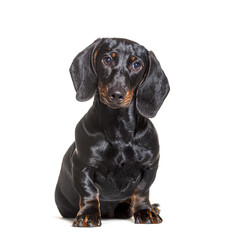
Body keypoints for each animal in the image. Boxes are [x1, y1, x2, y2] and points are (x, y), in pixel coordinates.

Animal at [55, 38, 170, 227]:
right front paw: (88, 214)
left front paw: (145, 211)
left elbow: (142, 190)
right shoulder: (82, 165)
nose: (116, 94)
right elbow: (89, 192)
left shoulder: (150, 165)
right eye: (107, 59)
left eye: (137, 64)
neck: (119, 130)